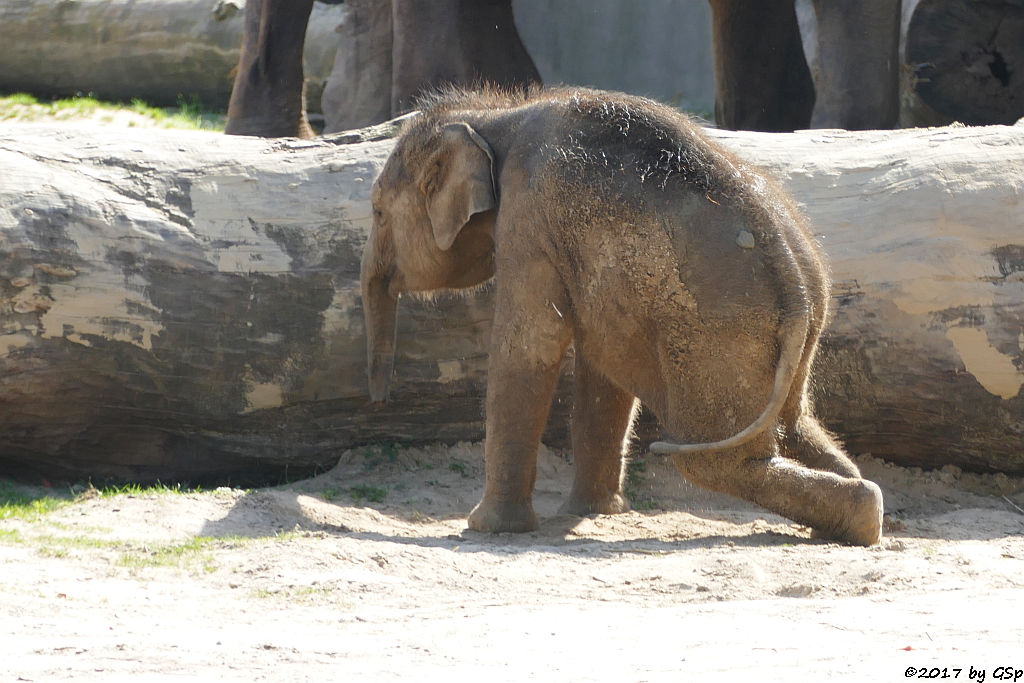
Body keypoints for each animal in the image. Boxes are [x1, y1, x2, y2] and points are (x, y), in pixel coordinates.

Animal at [364, 85, 884, 544]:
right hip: (789, 338)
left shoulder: (529, 219)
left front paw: (486, 529)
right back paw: (853, 517)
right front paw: (593, 513)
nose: (381, 402)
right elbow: (600, 361)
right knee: (796, 425)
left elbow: (531, 343)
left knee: (712, 458)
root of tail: (799, 279)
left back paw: (858, 513)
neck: (496, 115)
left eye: (377, 213)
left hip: (722, 333)